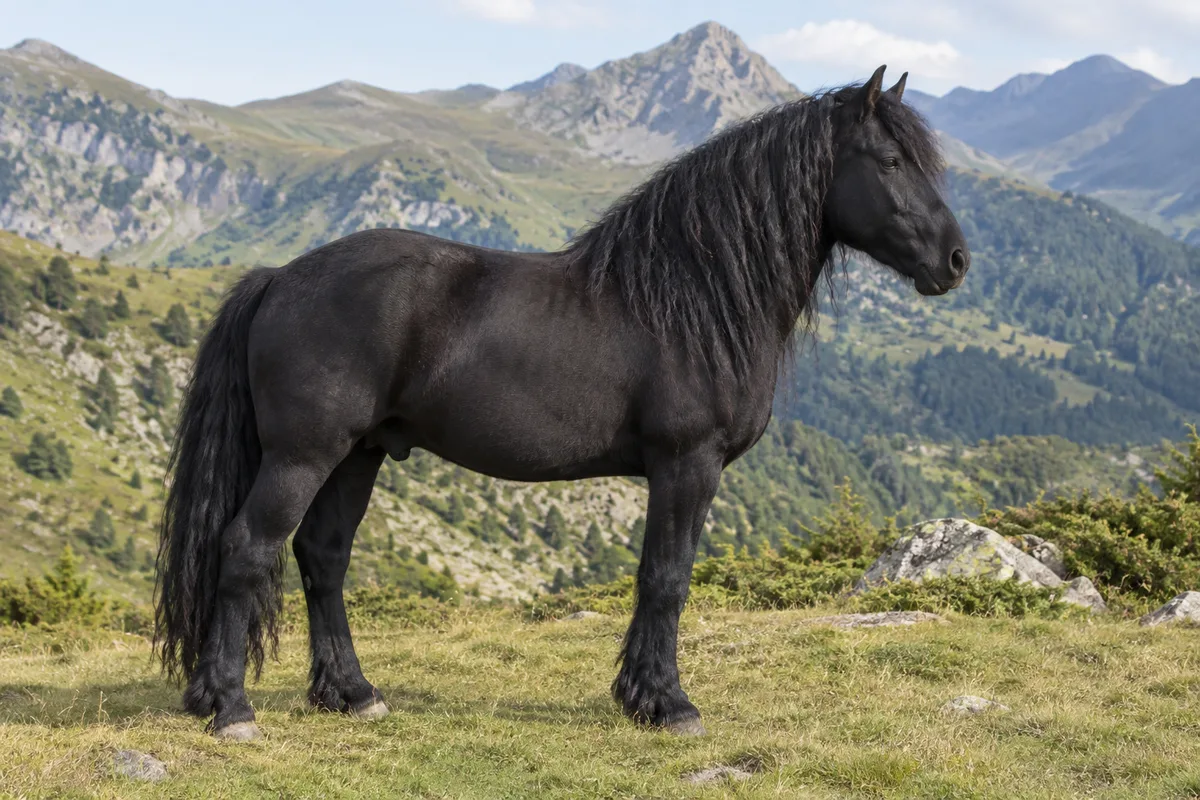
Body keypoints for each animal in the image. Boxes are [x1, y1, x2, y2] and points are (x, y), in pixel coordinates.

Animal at [154, 65, 969, 740]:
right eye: (890, 162)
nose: (956, 262)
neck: (692, 300)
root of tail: (280, 278)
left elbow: (659, 578)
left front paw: (638, 696)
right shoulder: (687, 465)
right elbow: (666, 579)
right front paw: (668, 705)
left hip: (359, 454)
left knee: (322, 556)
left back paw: (352, 694)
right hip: (303, 455)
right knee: (246, 549)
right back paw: (231, 708)